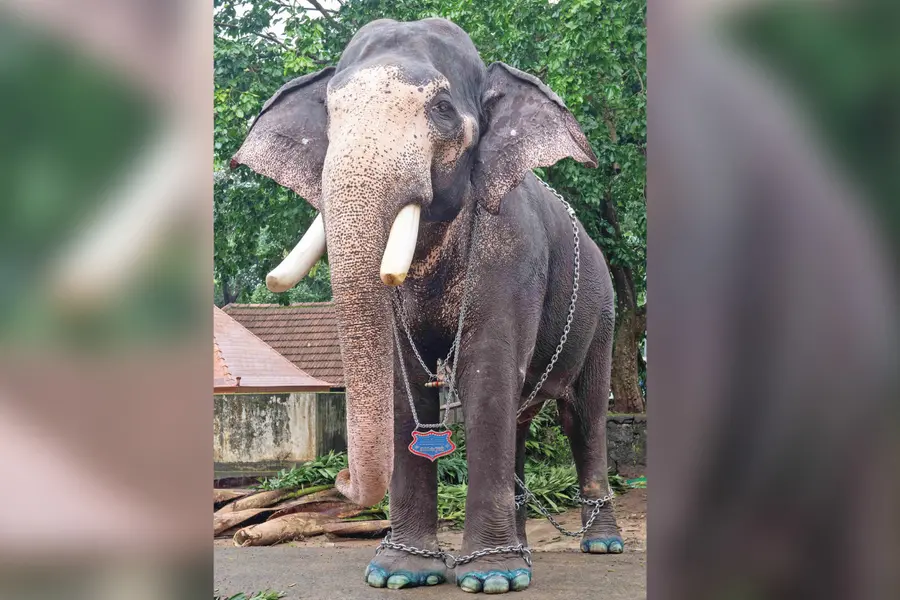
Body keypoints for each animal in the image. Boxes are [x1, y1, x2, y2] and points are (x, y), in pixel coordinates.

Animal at [230, 17, 622, 594]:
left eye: (440, 108)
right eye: (330, 113)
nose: (338, 479)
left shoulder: (511, 248)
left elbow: (487, 369)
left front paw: (491, 579)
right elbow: (406, 381)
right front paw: (399, 574)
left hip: (604, 312)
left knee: (584, 417)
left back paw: (597, 546)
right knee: (522, 418)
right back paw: (522, 550)